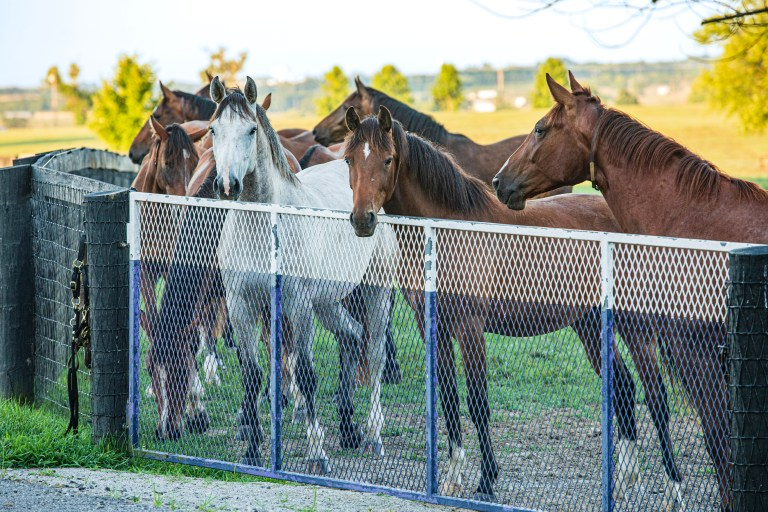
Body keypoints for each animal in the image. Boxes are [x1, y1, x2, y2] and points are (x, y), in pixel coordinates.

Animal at [208, 76, 397, 471]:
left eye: (251, 129)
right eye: (213, 129)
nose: (228, 186)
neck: (262, 226)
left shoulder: (298, 305)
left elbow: (306, 376)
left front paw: (317, 455)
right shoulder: (241, 305)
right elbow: (252, 375)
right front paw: (252, 448)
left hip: (373, 295)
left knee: (373, 354)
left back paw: (373, 435)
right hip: (327, 303)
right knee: (350, 337)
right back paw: (348, 429)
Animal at [343, 106, 689, 505]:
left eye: (387, 159)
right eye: (349, 159)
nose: (362, 220)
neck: (451, 230)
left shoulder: (470, 328)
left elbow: (478, 402)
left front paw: (486, 482)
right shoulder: (433, 327)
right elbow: (448, 399)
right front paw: (453, 478)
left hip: (635, 325)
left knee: (657, 399)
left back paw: (675, 490)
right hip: (588, 324)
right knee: (624, 387)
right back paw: (627, 481)